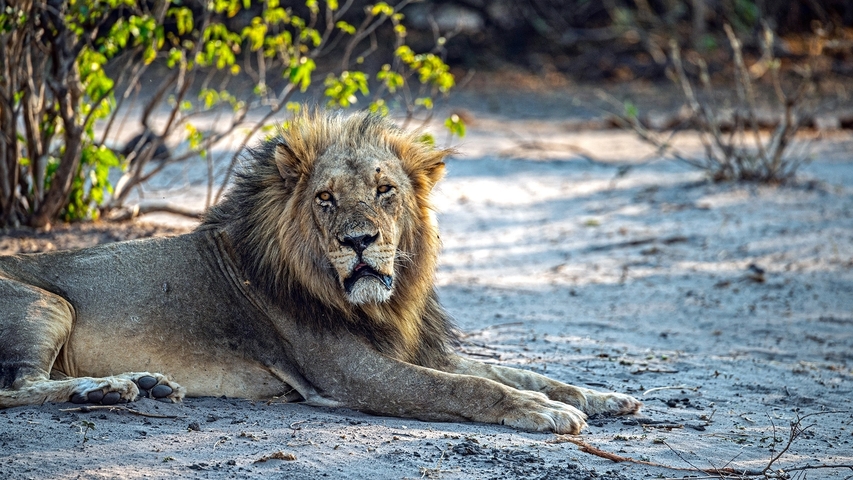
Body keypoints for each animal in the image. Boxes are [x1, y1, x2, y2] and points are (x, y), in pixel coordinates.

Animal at [0, 109, 640, 434]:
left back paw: (147, 384)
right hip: (47, 305)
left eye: (385, 191)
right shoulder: (350, 373)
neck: (385, 303)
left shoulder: (415, 347)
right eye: (326, 199)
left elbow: (522, 370)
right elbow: (470, 386)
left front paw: (603, 397)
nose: (360, 242)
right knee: (16, 389)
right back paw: (106, 389)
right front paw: (543, 412)